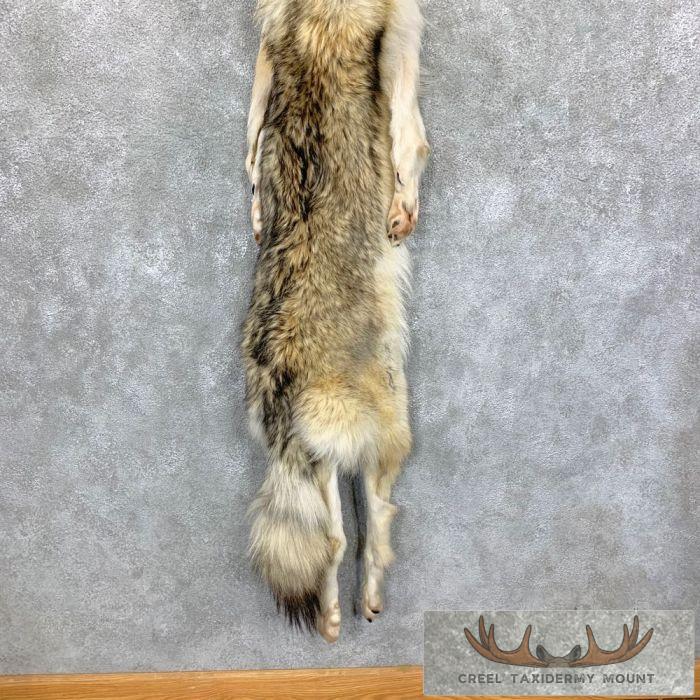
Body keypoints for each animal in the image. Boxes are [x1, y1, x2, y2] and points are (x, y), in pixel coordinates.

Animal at [242, 0, 428, 642]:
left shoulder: (269, 44)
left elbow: (252, 135)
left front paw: (254, 207)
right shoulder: (402, 36)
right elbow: (411, 140)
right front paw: (403, 209)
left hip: (314, 452)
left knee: (326, 535)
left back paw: (328, 617)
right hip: (389, 425)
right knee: (364, 527)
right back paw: (363, 600)